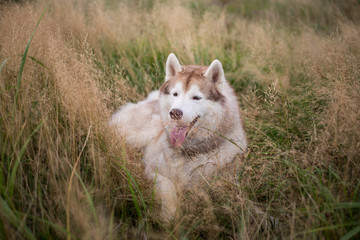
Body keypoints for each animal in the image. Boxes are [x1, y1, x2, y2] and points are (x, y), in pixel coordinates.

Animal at [110, 54, 248, 219]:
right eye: (175, 94)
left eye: (196, 97)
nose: (174, 113)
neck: (188, 151)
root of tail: (150, 98)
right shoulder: (153, 167)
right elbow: (168, 188)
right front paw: (169, 215)